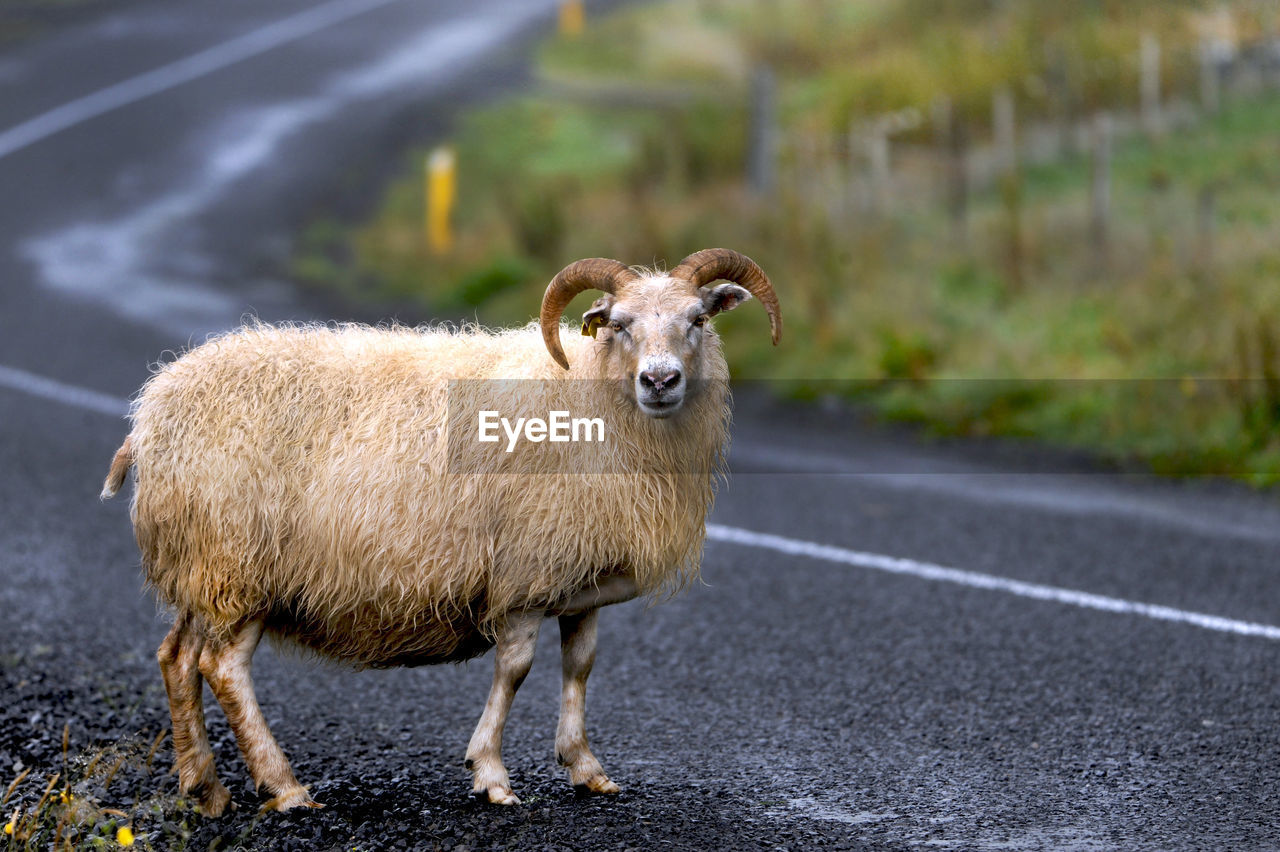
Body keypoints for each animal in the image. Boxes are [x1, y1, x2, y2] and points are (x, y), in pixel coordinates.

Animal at [99, 244, 778, 808]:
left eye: (697, 320)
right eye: (619, 324)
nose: (660, 380)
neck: (590, 393)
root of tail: (151, 412)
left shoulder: (579, 579)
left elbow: (580, 667)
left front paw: (586, 768)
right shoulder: (523, 575)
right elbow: (515, 670)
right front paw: (493, 776)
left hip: (201, 564)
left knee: (177, 657)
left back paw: (204, 787)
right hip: (237, 560)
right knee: (222, 668)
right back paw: (285, 788)